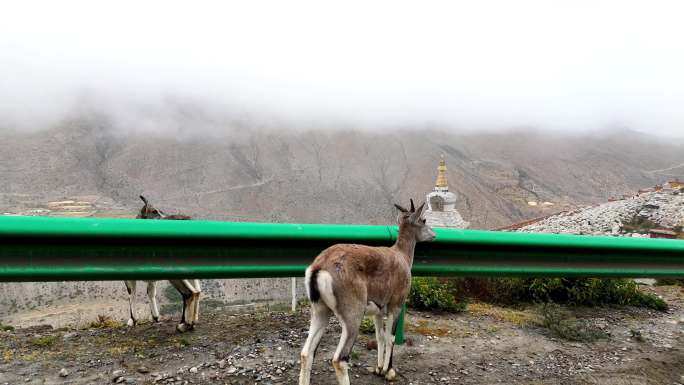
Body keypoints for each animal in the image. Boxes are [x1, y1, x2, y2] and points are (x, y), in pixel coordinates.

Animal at [124, 196, 202, 332]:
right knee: (197, 290)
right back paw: (193, 322)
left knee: (189, 292)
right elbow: (150, 292)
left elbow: (131, 294)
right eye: (154, 211)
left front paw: (133, 320)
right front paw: (155, 317)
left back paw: (183, 325)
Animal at [298, 200, 432, 384]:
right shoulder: (395, 306)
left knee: (307, 353)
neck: (401, 256)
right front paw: (389, 372)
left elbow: (379, 336)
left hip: (320, 312)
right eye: (423, 220)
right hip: (352, 317)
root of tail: (320, 266)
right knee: (340, 359)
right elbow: (390, 337)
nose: (434, 234)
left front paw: (379, 368)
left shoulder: (377, 312)